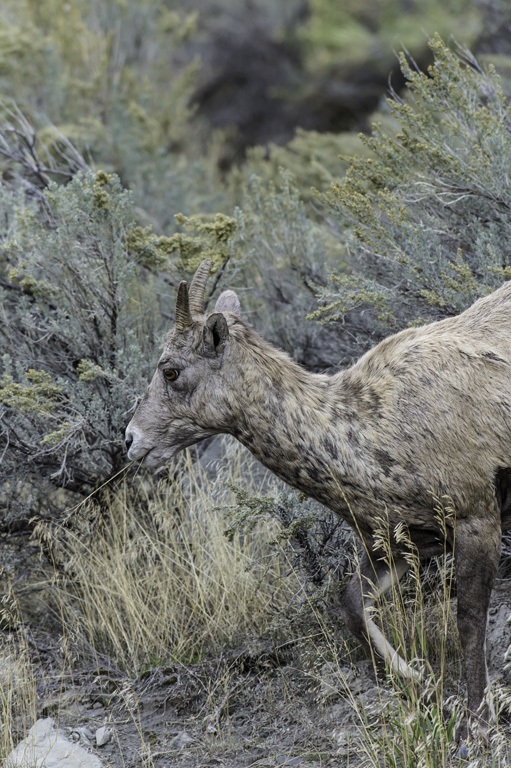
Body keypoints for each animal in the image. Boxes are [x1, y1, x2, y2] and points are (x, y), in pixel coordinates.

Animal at [127, 258, 511, 736]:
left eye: (171, 371)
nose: (132, 440)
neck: (367, 431)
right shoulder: (399, 542)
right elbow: (351, 606)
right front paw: (425, 688)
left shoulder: (477, 520)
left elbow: (469, 621)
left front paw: (476, 724)